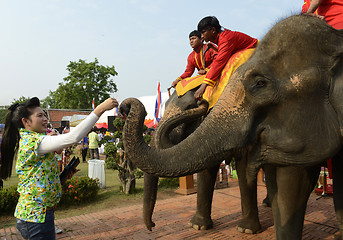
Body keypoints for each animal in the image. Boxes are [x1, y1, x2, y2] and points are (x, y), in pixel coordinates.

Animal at [121, 14, 343, 239]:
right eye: (165, 106)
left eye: (191, 107)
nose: (151, 226)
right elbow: (208, 167)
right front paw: (199, 227)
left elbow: (243, 166)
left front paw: (246, 229)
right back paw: (267, 203)